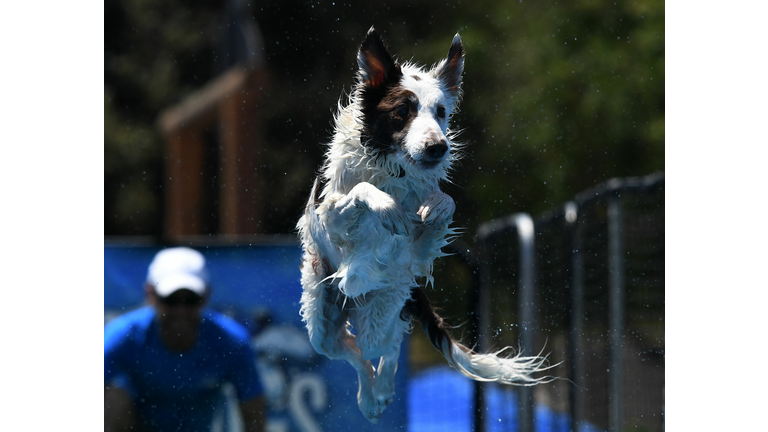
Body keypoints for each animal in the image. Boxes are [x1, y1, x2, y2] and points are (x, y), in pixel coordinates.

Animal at [294, 28, 552, 424]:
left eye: (441, 112)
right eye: (404, 110)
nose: (438, 148)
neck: (393, 168)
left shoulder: (416, 252)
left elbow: (444, 205)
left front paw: (431, 206)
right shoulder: (331, 219)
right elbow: (361, 191)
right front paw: (388, 208)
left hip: (384, 304)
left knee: (388, 341)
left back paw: (381, 389)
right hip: (323, 318)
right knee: (355, 352)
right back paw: (369, 396)